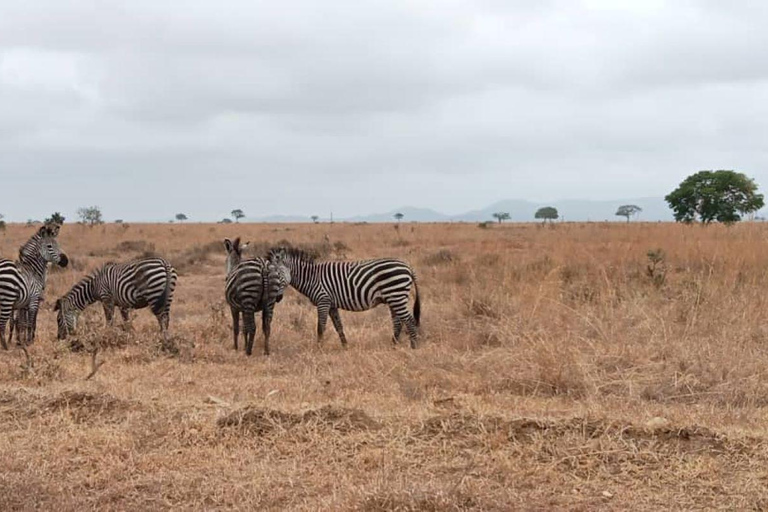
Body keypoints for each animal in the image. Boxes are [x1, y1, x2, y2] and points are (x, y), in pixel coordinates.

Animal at [268, 247, 420, 348]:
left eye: (278, 274)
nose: (276, 298)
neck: (311, 278)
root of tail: (408, 267)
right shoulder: (332, 304)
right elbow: (338, 326)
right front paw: (345, 345)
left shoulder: (323, 301)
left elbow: (320, 326)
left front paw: (319, 347)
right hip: (393, 298)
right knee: (398, 322)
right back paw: (394, 344)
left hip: (396, 295)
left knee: (409, 320)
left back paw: (413, 346)